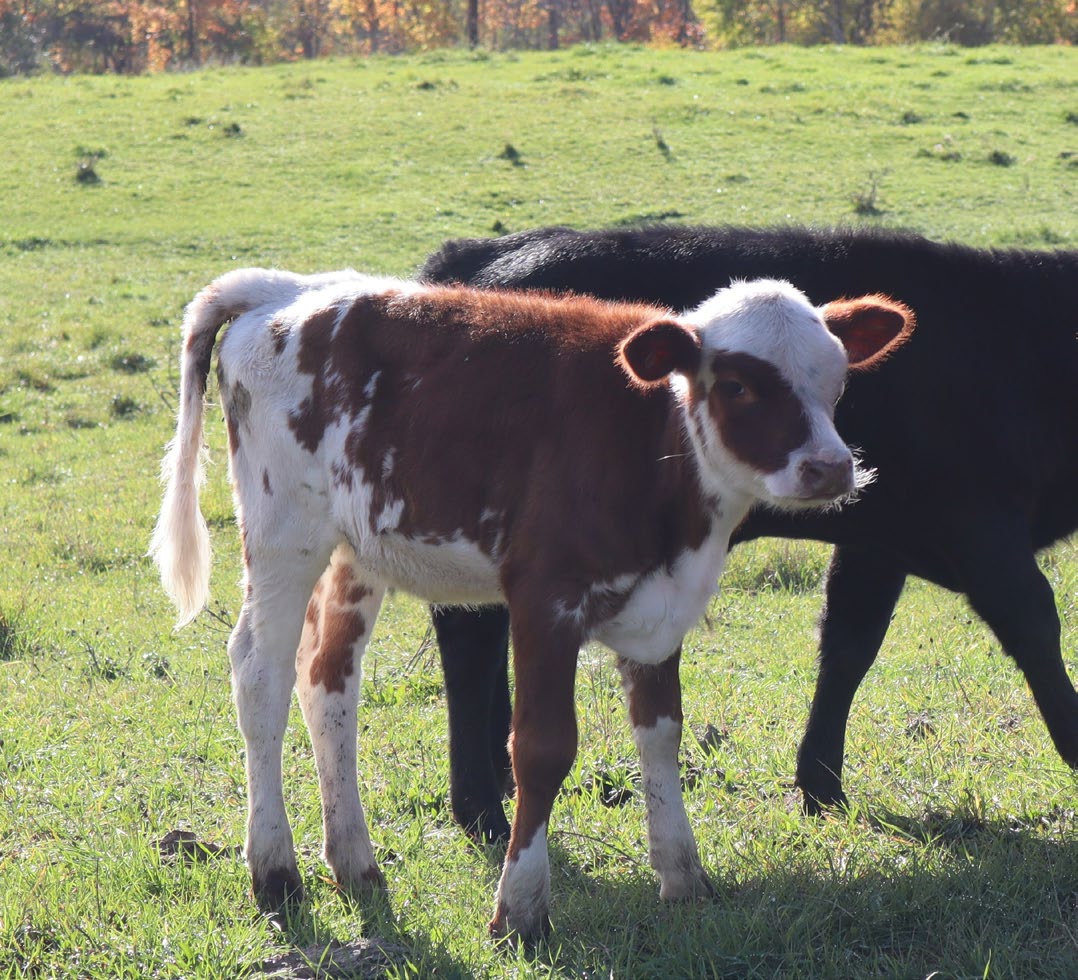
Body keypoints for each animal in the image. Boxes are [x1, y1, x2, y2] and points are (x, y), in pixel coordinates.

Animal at [149, 267, 909, 940]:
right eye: (739, 385)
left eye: (836, 379)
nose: (831, 468)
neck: (651, 440)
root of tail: (283, 287)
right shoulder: (545, 597)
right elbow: (542, 748)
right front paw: (519, 910)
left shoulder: (661, 606)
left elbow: (660, 731)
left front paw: (683, 876)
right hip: (285, 532)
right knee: (260, 673)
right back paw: (275, 872)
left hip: (353, 551)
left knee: (327, 679)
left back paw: (355, 864)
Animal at [418, 223, 1078, 840]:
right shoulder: (981, 526)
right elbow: (1036, 625)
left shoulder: (879, 541)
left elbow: (849, 643)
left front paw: (820, 786)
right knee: (468, 646)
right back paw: (481, 810)